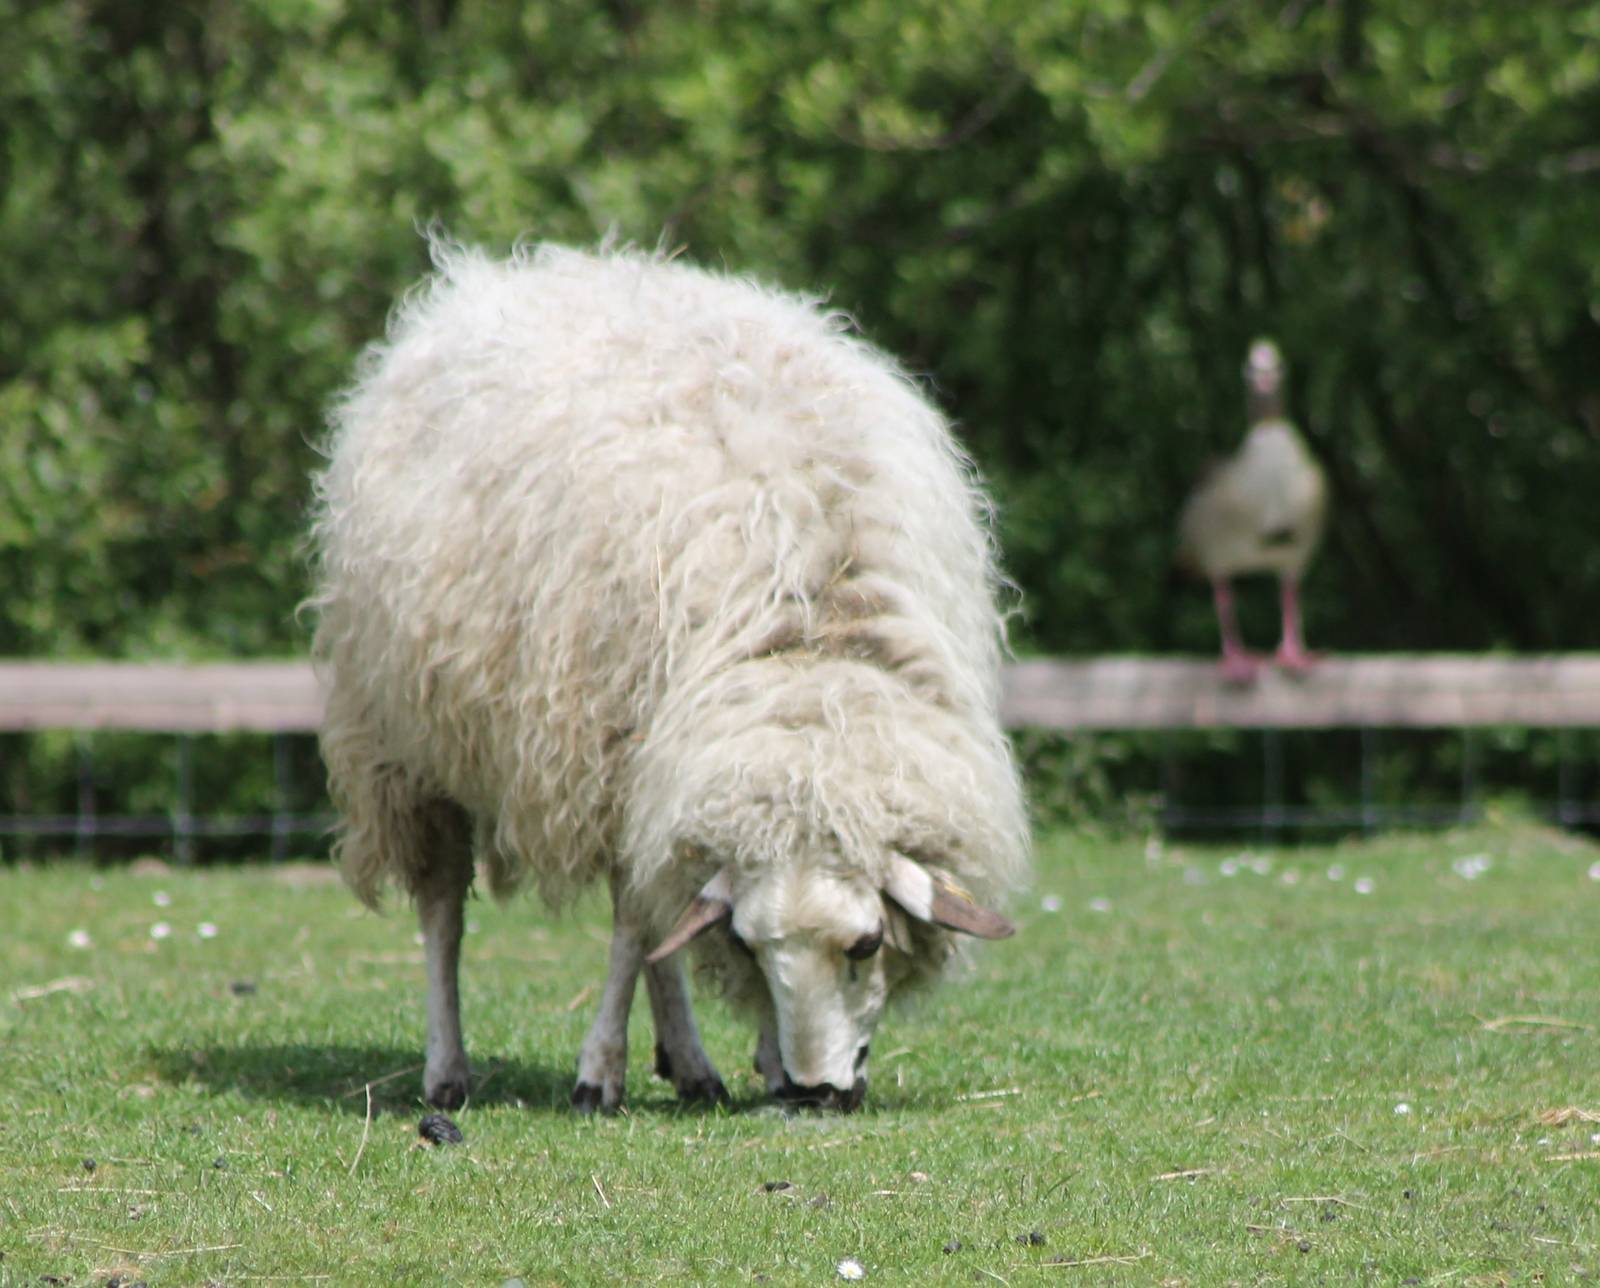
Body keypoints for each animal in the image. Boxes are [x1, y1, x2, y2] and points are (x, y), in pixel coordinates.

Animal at [308, 239, 1030, 1113]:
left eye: (864, 945)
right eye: (753, 945)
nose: (819, 1092)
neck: (810, 648)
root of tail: (497, 273)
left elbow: (662, 926)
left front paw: (757, 1059)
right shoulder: (615, 760)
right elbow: (631, 932)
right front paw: (600, 1071)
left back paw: (690, 1063)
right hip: (408, 742)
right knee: (445, 911)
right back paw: (447, 1072)